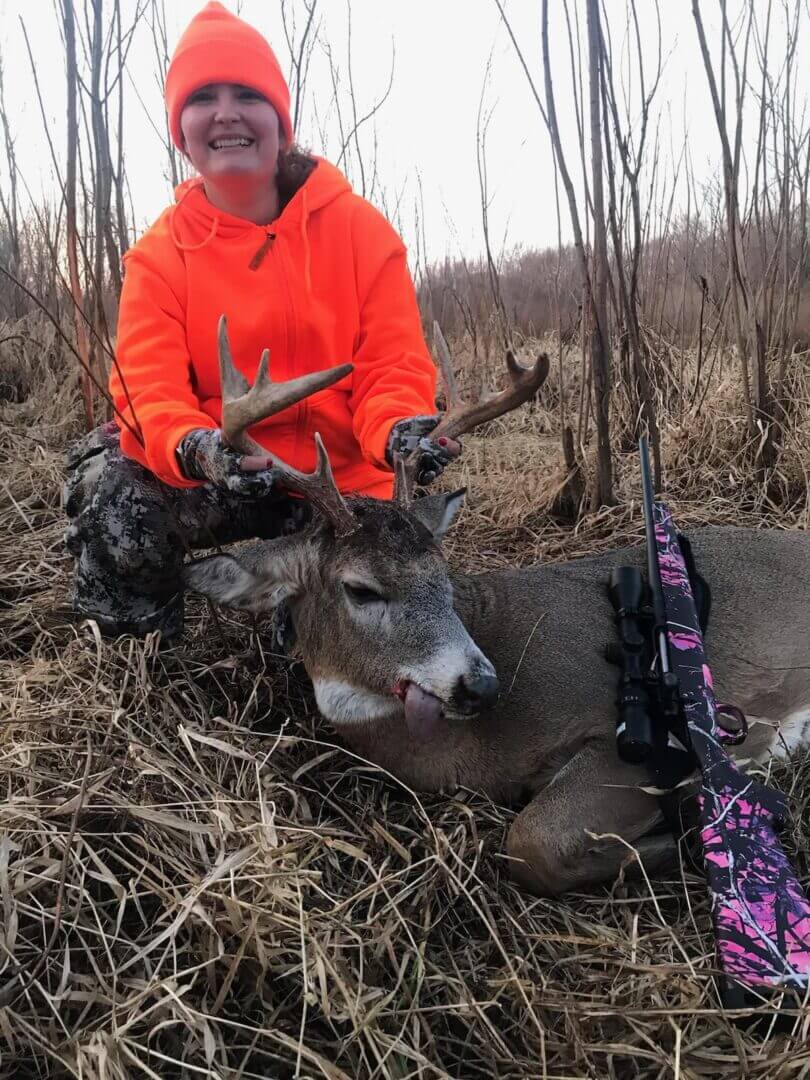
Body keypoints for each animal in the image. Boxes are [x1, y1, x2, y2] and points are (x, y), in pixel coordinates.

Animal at [184, 317, 810, 897]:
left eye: (444, 572)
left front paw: (683, 828)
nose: (481, 684)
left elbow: (529, 841)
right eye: (360, 589)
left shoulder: (636, 741)